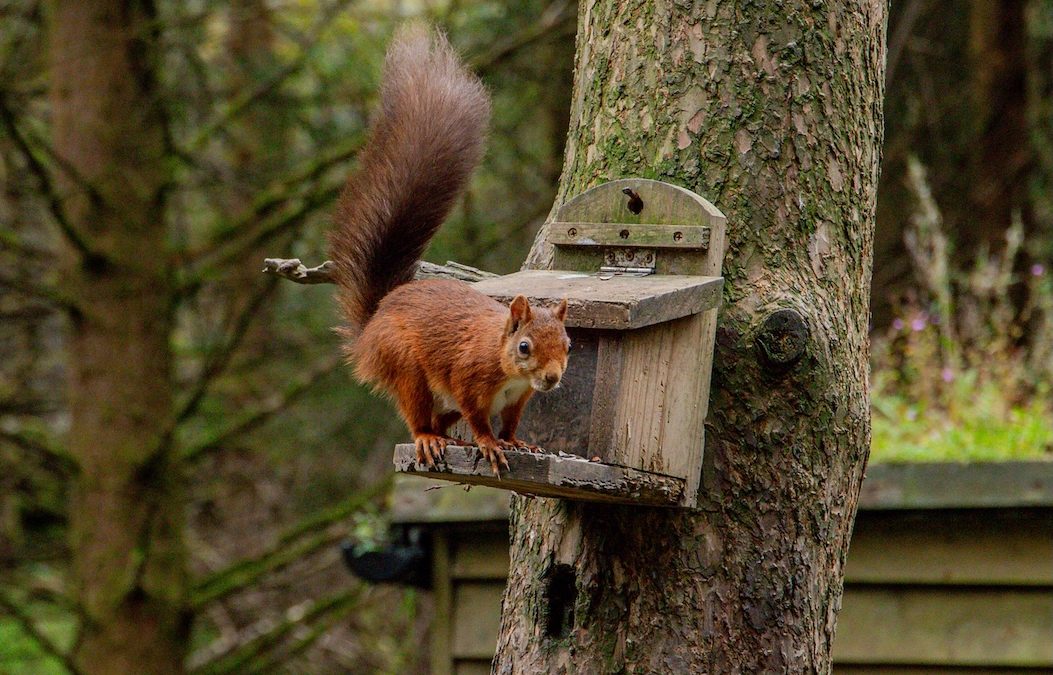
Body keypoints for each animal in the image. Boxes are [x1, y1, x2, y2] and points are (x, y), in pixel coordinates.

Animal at [328, 25, 570, 476]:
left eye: (568, 345)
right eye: (524, 347)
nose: (551, 379)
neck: (506, 364)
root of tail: (371, 327)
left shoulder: (518, 398)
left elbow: (511, 421)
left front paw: (516, 442)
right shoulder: (467, 379)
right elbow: (478, 417)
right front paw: (489, 443)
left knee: (443, 420)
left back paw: (446, 438)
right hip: (405, 365)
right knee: (417, 415)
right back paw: (427, 438)